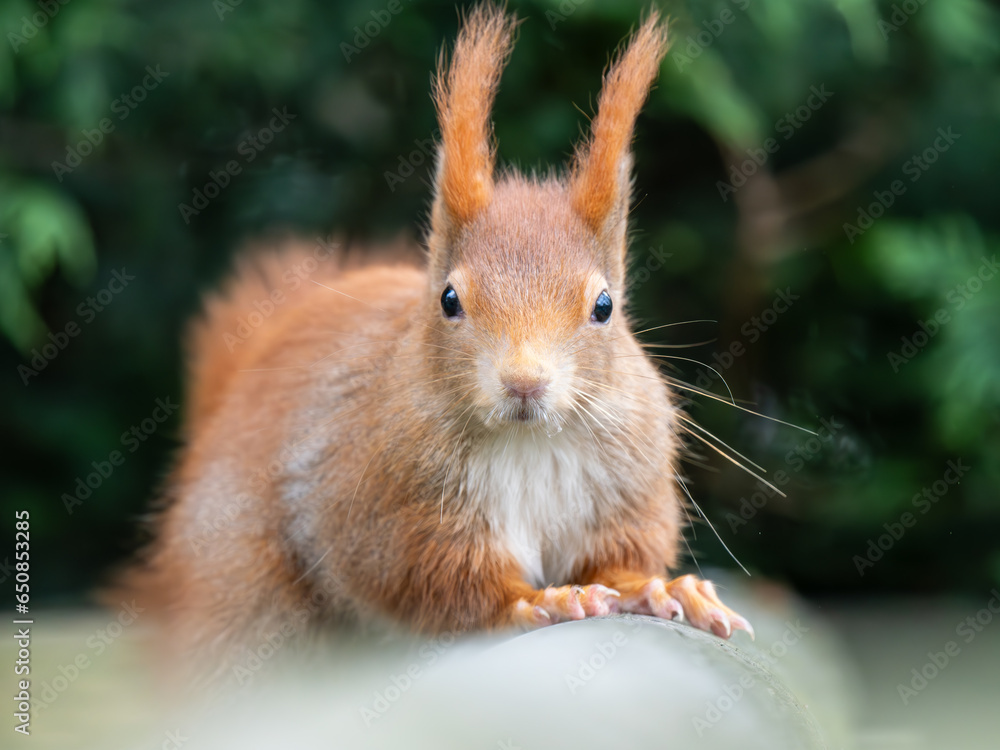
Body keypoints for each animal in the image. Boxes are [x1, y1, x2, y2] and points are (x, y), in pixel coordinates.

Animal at [127, 4, 753, 678]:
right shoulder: (385, 506)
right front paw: (540, 600)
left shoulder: (625, 493)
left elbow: (616, 559)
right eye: (449, 300)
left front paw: (659, 587)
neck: (527, 441)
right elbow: (439, 581)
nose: (524, 382)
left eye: (604, 306)